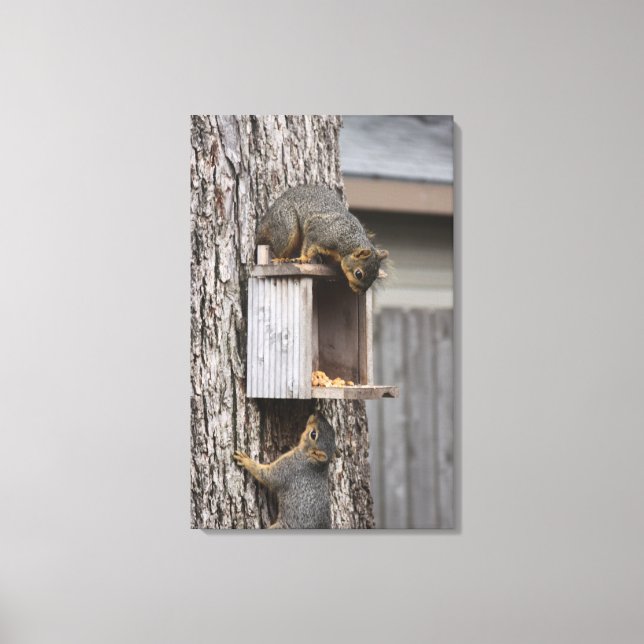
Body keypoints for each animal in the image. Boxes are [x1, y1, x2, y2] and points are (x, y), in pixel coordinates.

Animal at [257, 185, 389, 294]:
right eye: (358, 274)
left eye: (375, 275)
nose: (360, 293)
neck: (348, 241)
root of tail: (265, 221)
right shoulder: (318, 233)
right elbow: (308, 247)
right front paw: (304, 258)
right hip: (287, 225)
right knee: (279, 248)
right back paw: (281, 259)